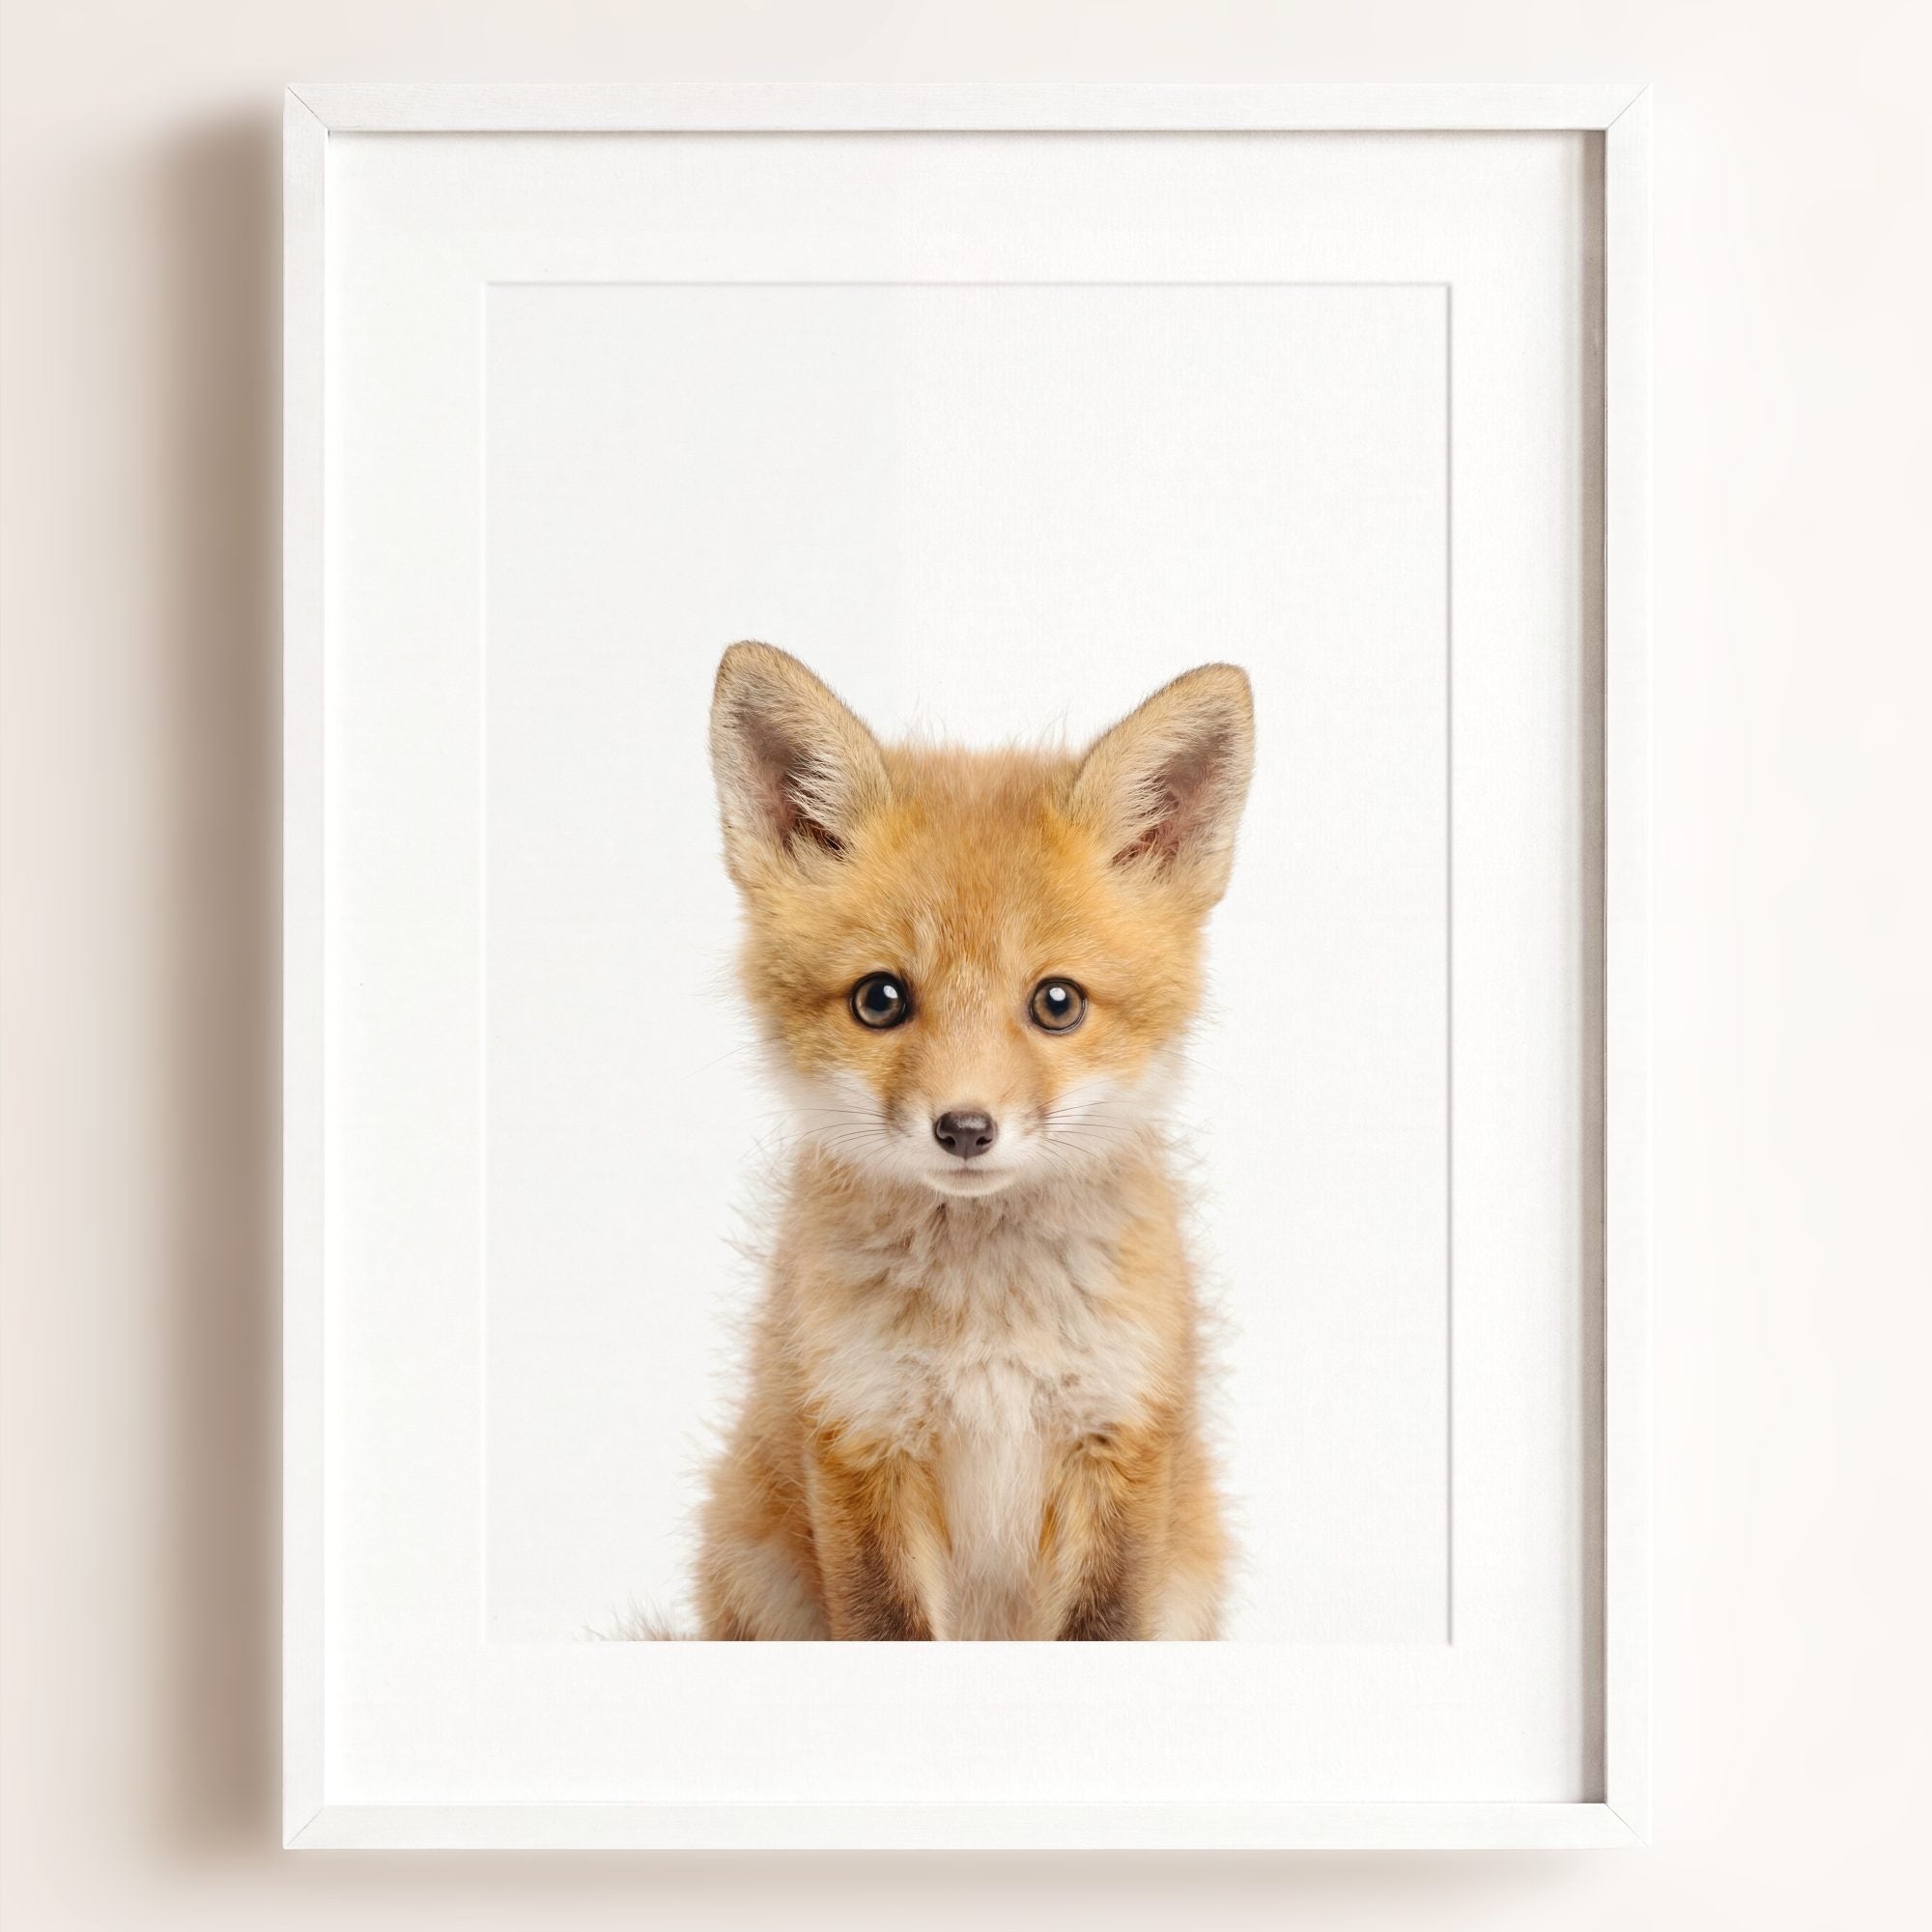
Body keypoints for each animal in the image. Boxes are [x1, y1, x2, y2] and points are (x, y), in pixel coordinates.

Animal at [691, 641, 1254, 1640]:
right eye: (880, 999)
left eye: (1057, 1002)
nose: (963, 1128)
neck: (989, 1327)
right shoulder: (861, 1437)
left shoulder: (1119, 1439)